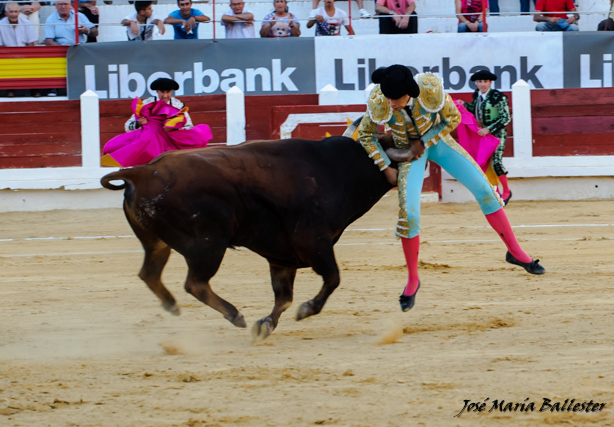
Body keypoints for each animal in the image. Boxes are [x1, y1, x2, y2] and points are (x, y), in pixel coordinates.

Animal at [101, 135, 400, 340]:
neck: (336, 170)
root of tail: (140, 171)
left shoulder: (282, 258)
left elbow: (284, 297)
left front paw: (265, 325)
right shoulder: (315, 243)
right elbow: (332, 279)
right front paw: (306, 309)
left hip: (157, 242)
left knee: (150, 273)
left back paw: (172, 305)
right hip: (208, 244)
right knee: (195, 283)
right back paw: (234, 314)